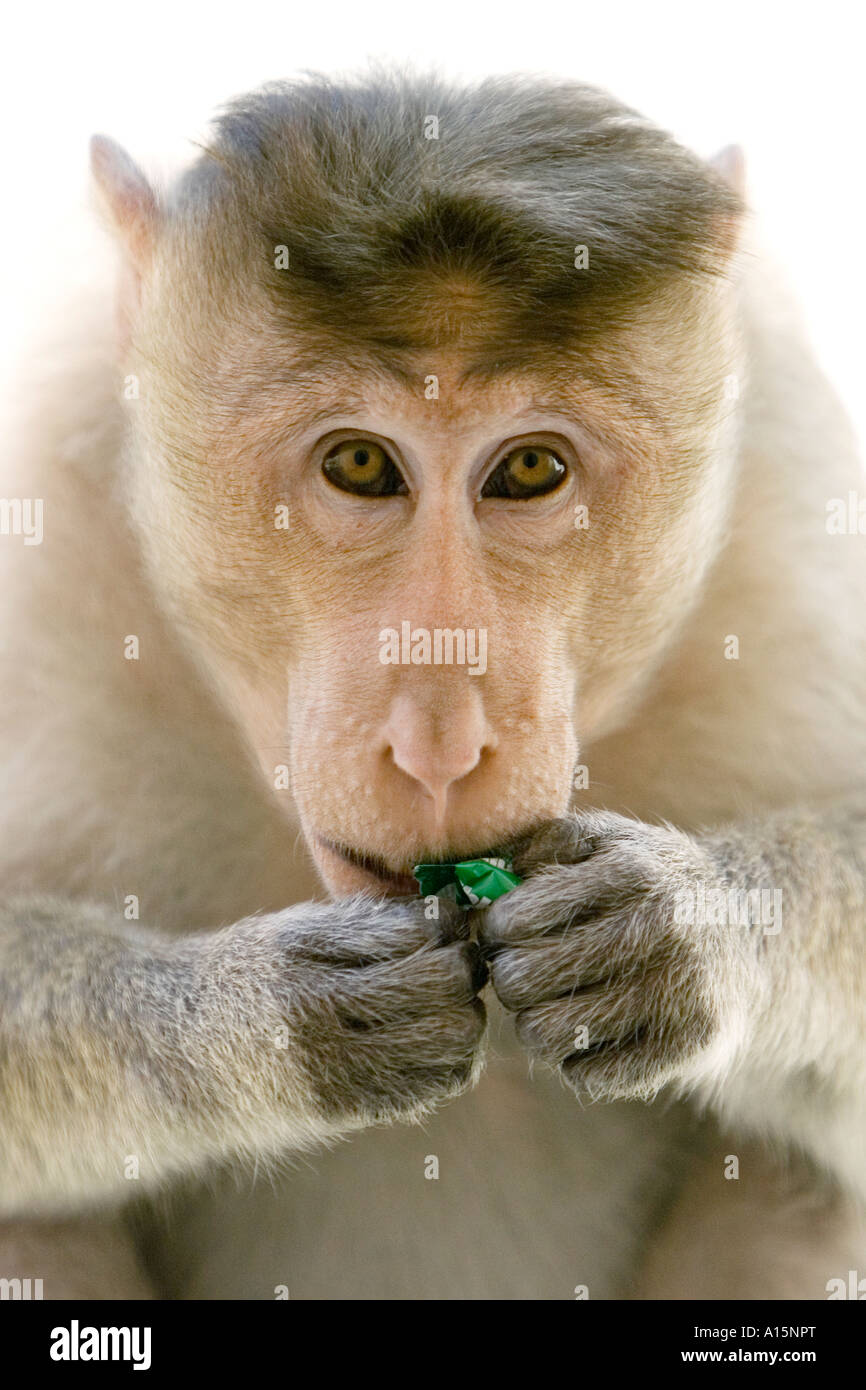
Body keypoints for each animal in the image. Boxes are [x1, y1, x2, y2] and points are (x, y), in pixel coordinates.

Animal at [1, 70, 866, 1295]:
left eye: (530, 469)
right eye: (359, 464)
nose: (441, 741)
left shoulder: (794, 484)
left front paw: (680, 930)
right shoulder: (38, 483)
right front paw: (269, 1016)